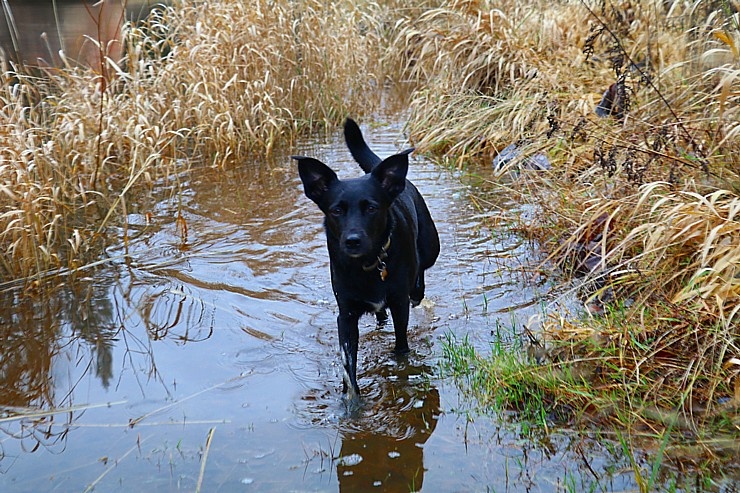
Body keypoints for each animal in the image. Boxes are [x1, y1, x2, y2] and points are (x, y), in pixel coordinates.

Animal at [294, 119, 440, 400]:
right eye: (336, 210)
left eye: (371, 208)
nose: (352, 240)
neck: (367, 265)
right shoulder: (347, 314)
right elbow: (348, 363)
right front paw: (350, 400)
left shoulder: (399, 303)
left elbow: (401, 344)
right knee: (380, 313)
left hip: (431, 249)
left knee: (421, 276)